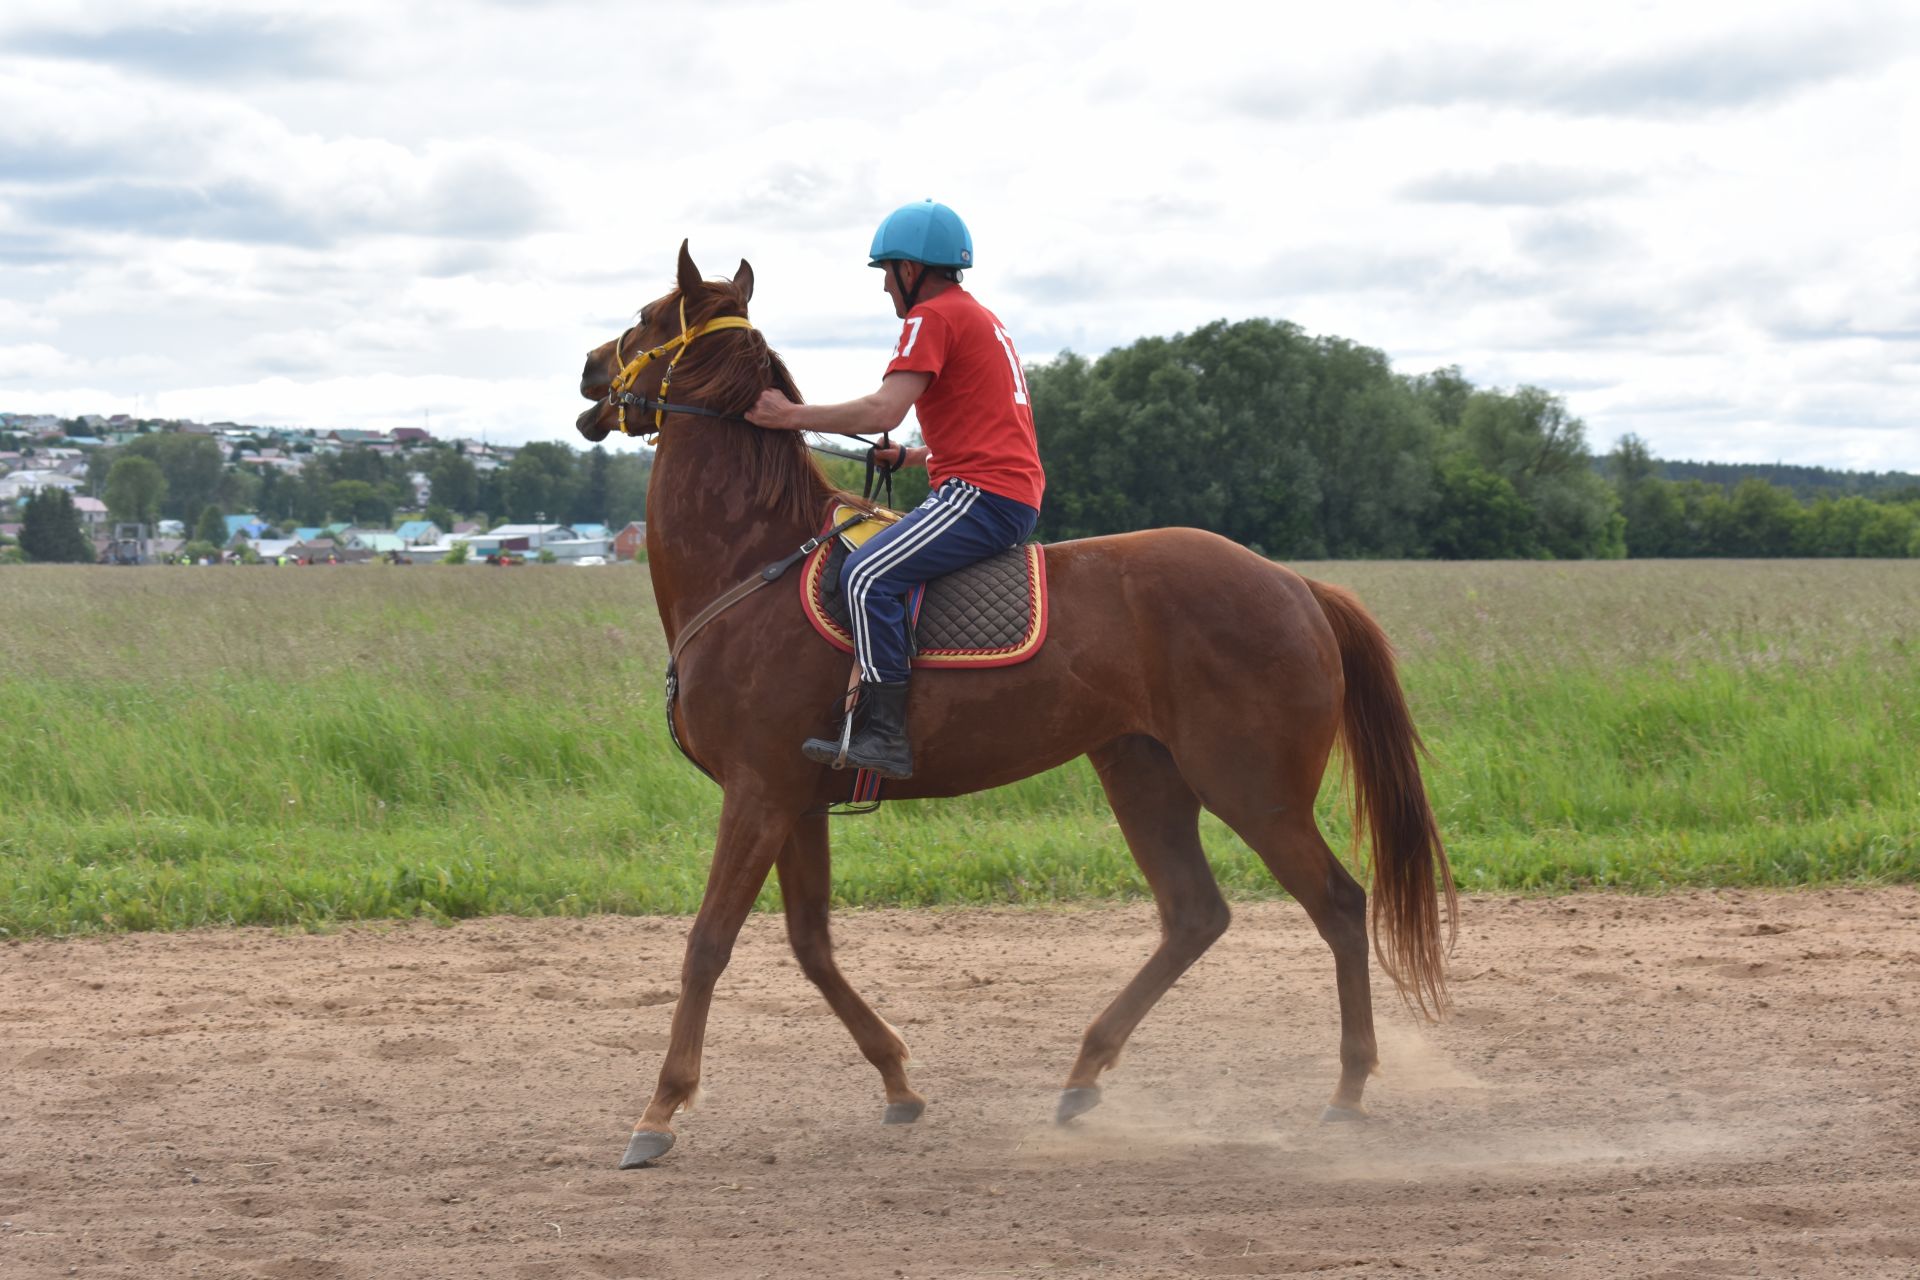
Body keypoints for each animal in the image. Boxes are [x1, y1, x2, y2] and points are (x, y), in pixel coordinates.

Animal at [568, 239, 1451, 1174]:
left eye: (650, 316)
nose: (589, 367)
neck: (753, 562)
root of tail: (1295, 584)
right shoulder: (794, 800)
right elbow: (812, 946)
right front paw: (898, 1082)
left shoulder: (758, 793)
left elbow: (708, 944)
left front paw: (660, 1110)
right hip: (1144, 773)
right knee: (1194, 914)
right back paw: (1085, 1074)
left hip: (1254, 789)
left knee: (1339, 906)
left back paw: (1347, 1090)